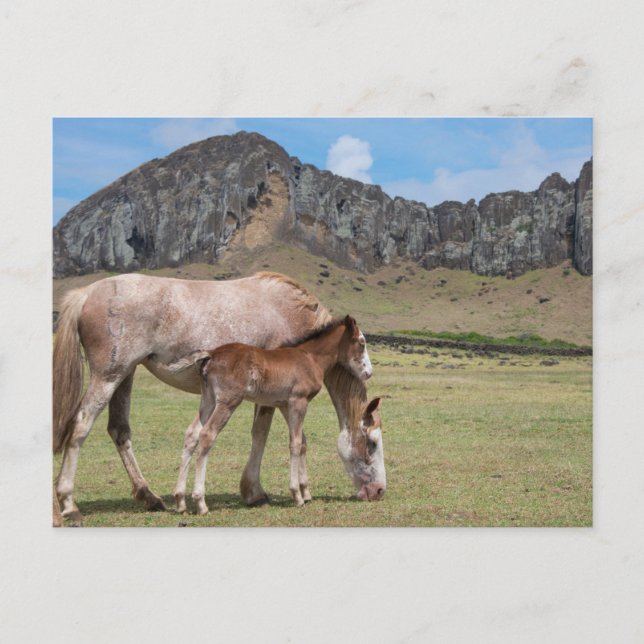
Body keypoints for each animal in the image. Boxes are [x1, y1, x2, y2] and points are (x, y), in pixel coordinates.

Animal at [167, 315, 384, 513]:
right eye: (362, 343)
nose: (369, 372)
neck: (310, 357)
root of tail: (211, 353)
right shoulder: (298, 401)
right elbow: (295, 443)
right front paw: (296, 495)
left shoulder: (285, 405)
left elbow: (302, 442)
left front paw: (305, 492)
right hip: (228, 401)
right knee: (207, 435)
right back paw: (200, 502)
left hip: (208, 400)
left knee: (192, 434)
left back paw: (180, 501)